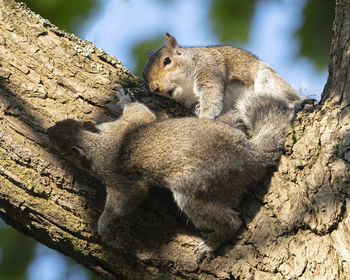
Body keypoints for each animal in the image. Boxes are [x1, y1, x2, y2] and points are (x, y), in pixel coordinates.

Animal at [47, 86, 296, 264]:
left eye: (61, 147)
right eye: (67, 122)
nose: (48, 130)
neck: (97, 142)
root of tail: (248, 154)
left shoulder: (116, 175)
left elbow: (127, 200)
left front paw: (103, 221)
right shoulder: (126, 125)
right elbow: (141, 112)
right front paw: (124, 98)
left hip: (199, 186)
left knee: (230, 222)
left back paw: (213, 242)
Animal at [142, 33, 300, 120]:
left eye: (166, 61)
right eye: (144, 77)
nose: (155, 87)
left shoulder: (209, 69)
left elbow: (212, 94)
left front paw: (205, 117)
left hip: (268, 79)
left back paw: (296, 102)